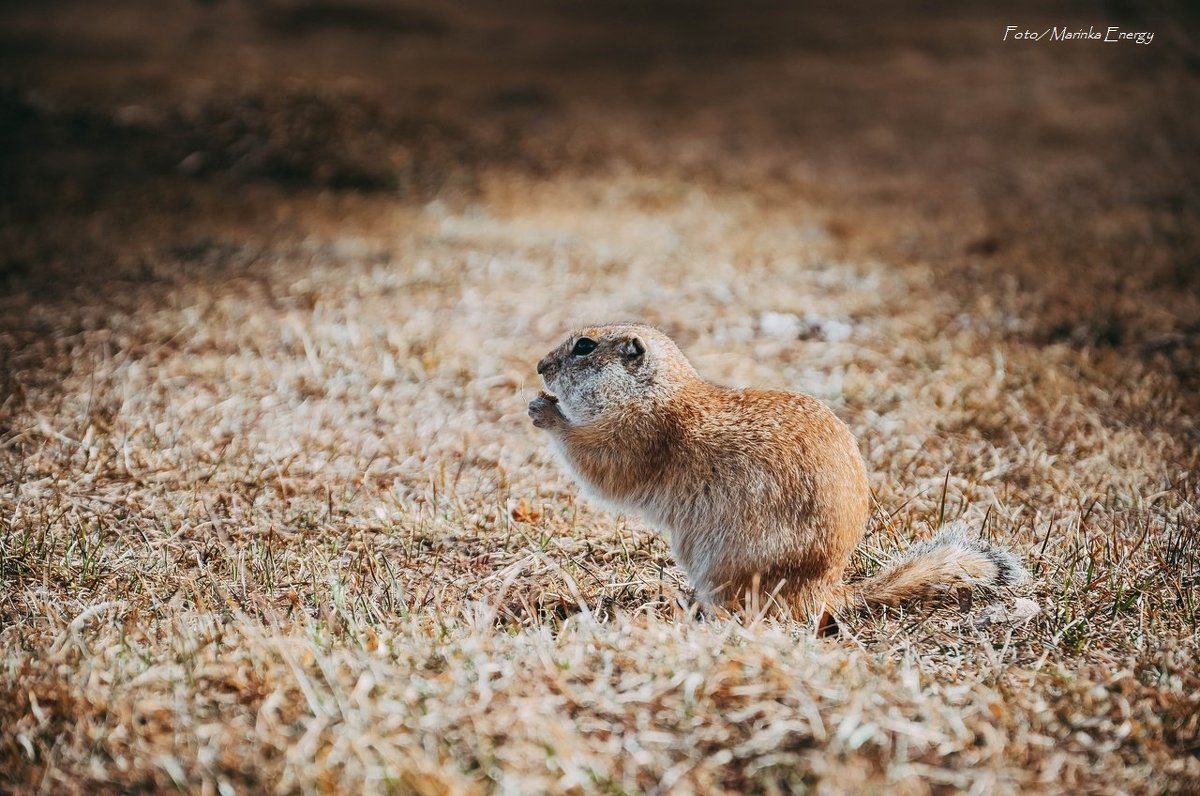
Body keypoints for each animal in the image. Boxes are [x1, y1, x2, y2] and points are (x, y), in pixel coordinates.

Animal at [530, 321, 1027, 624]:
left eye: (584, 346)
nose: (539, 365)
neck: (658, 393)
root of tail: (828, 591)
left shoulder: (638, 436)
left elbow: (601, 463)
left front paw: (545, 410)